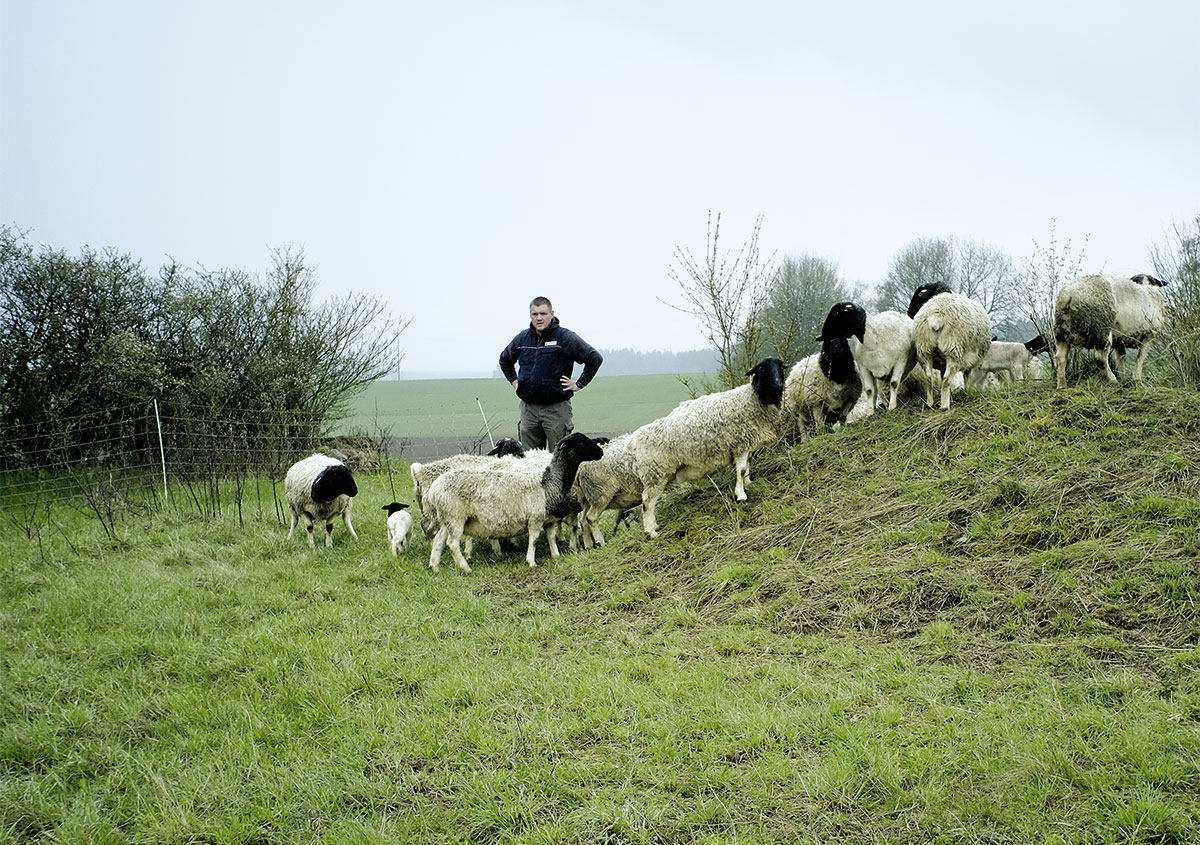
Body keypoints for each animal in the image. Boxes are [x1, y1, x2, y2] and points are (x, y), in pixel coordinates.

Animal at [424, 432, 609, 571]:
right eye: (580, 442)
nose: (601, 453)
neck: (549, 481)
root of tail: (434, 489)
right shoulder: (534, 519)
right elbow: (534, 540)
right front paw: (531, 562)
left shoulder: (548, 520)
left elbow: (550, 538)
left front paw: (556, 556)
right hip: (456, 518)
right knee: (452, 543)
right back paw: (465, 568)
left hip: (446, 519)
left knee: (439, 540)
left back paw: (435, 567)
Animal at [624, 355, 792, 535]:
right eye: (761, 368)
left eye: (781, 367)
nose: (778, 384)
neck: (754, 399)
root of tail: (634, 441)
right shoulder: (739, 442)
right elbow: (740, 470)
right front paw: (741, 495)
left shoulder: (745, 444)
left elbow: (746, 467)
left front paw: (748, 483)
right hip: (655, 473)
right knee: (647, 502)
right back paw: (651, 532)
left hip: (657, 474)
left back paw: (654, 527)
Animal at [782, 300, 868, 439]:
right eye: (827, 339)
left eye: (843, 337)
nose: (837, 348)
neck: (836, 376)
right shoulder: (816, 403)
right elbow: (820, 425)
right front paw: (823, 435)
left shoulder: (849, 399)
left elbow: (843, 418)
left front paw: (842, 430)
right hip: (797, 410)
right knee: (802, 426)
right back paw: (806, 440)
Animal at [907, 280, 993, 408]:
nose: (910, 312)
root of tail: (936, 315)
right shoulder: (971, 360)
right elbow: (966, 377)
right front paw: (966, 392)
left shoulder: (943, 363)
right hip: (952, 348)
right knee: (947, 379)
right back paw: (945, 406)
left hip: (924, 350)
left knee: (929, 378)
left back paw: (930, 404)